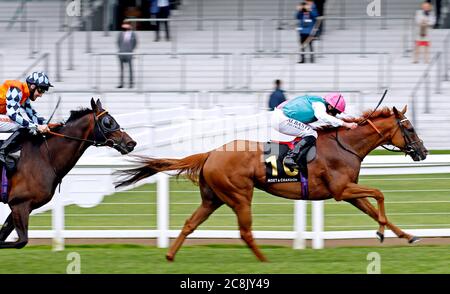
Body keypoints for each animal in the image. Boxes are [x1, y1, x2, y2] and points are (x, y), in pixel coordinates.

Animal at [0, 98, 137, 248]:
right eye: (108, 122)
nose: (131, 143)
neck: (44, 156)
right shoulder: (20, 204)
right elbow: (20, 241)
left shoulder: (21, 207)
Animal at [115, 105, 426, 262]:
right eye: (409, 128)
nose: (422, 152)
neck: (345, 145)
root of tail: (211, 153)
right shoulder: (341, 191)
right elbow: (380, 193)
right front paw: (383, 232)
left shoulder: (349, 192)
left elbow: (374, 207)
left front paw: (404, 235)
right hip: (239, 195)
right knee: (245, 232)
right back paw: (265, 260)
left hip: (212, 198)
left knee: (191, 223)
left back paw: (170, 255)